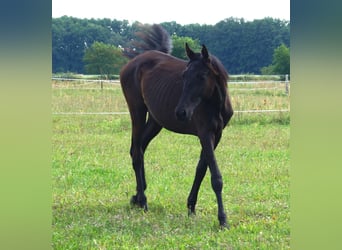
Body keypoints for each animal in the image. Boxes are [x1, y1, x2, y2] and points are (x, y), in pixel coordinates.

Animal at [119, 24, 234, 228]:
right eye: (184, 75)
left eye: (202, 75)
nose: (181, 112)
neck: (215, 104)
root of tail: (134, 62)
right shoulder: (205, 134)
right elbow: (216, 177)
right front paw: (222, 219)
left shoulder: (216, 136)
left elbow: (201, 169)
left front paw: (191, 207)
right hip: (137, 111)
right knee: (137, 153)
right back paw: (143, 201)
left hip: (155, 121)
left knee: (138, 149)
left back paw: (137, 196)